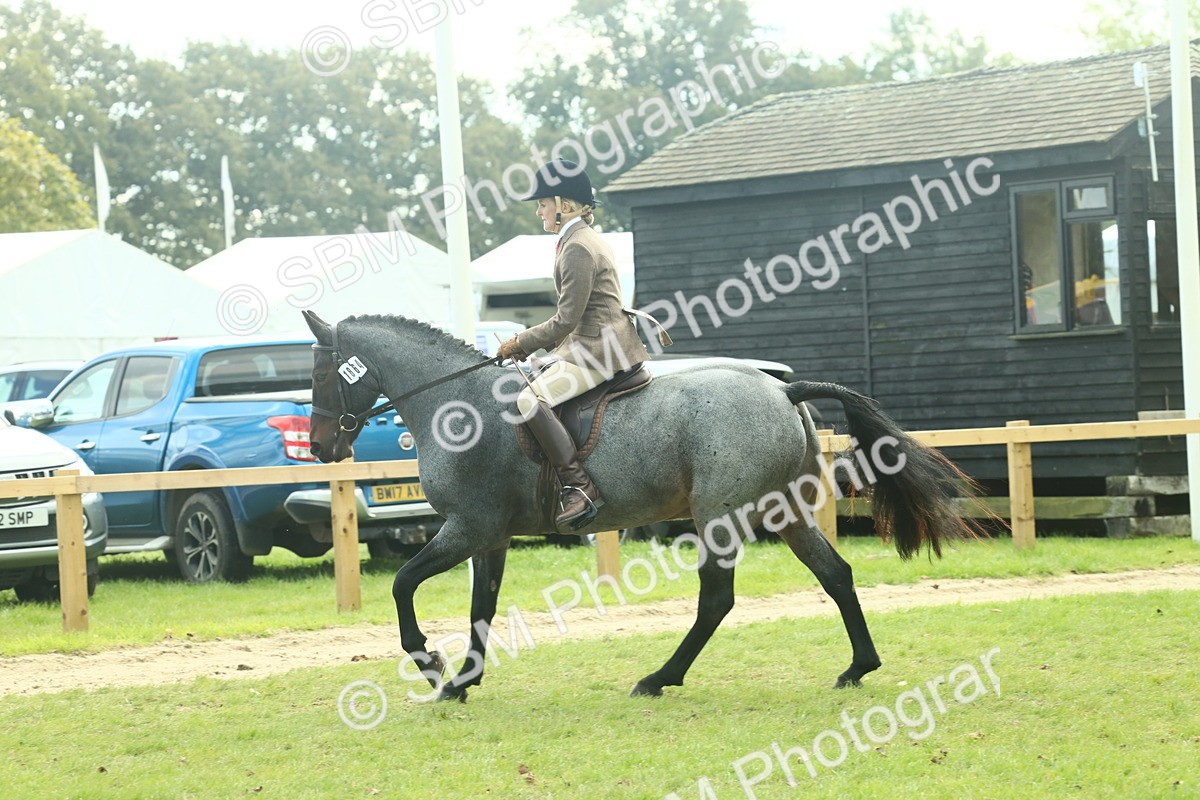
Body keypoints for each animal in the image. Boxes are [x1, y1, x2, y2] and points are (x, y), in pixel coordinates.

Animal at [302, 310, 985, 702]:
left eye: (320, 372)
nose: (319, 446)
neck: (460, 404)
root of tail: (782, 388)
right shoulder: (488, 537)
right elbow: (481, 610)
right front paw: (461, 684)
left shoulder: (466, 528)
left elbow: (403, 586)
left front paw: (430, 666)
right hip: (783, 512)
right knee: (836, 574)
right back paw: (858, 667)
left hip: (720, 517)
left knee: (717, 601)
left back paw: (660, 678)